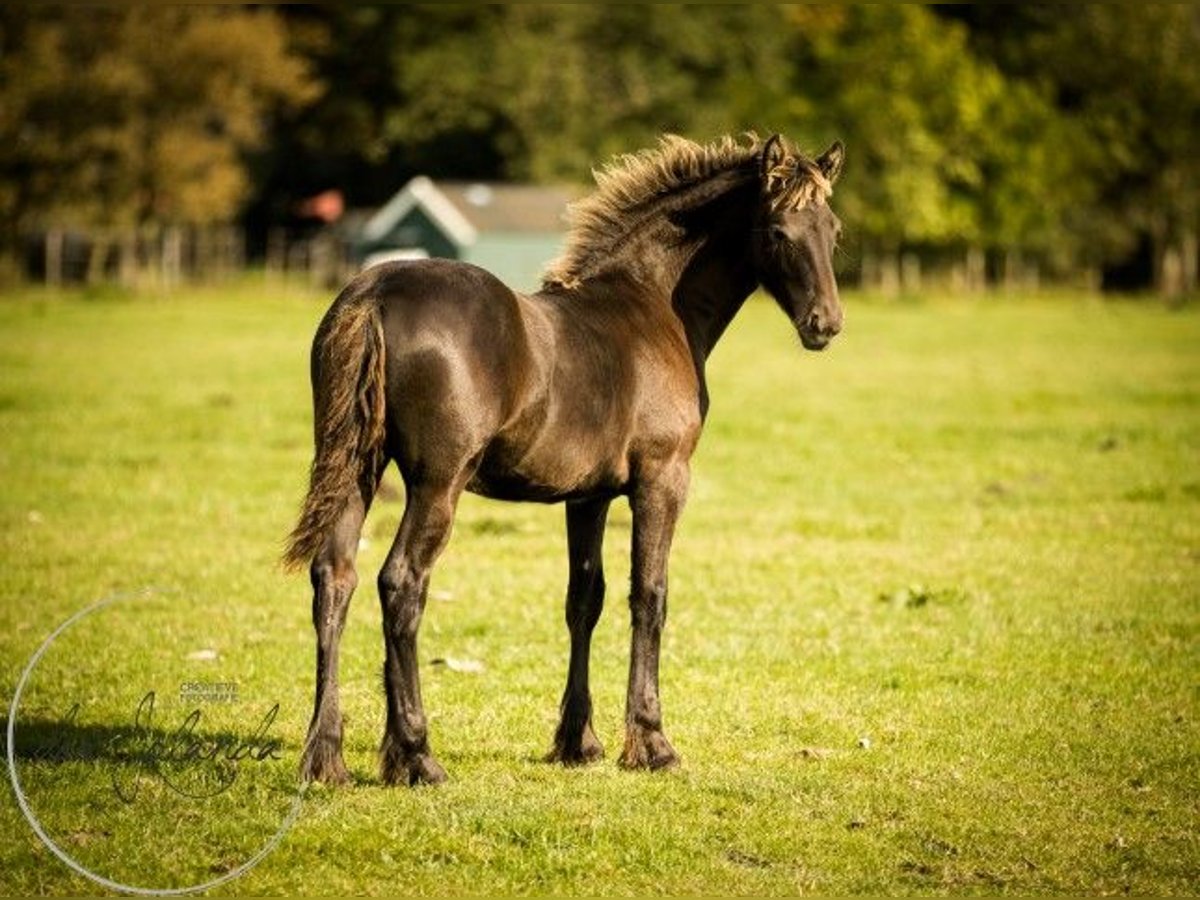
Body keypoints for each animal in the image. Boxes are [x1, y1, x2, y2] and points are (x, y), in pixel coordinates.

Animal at [285, 130, 844, 787]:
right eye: (779, 231)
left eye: (833, 230)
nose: (825, 324)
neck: (654, 306)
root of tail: (374, 294)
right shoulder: (663, 479)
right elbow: (649, 596)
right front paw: (652, 743)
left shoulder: (589, 495)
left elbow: (585, 599)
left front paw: (579, 741)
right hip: (436, 482)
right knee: (400, 583)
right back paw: (416, 756)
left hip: (357, 468)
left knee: (334, 579)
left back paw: (326, 758)